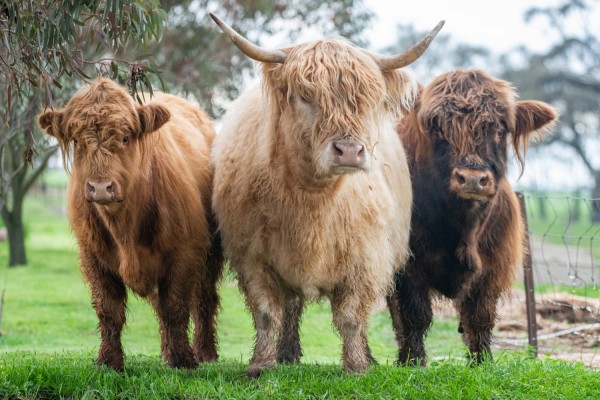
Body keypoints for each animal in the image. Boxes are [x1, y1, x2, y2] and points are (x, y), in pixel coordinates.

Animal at [39, 78, 223, 372]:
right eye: (77, 140)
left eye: (125, 137)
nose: (100, 187)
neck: (125, 228)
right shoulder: (93, 258)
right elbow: (109, 311)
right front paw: (109, 361)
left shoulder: (185, 252)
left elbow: (176, 306)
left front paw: (183, 360)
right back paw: (166, 351)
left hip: (212, 253)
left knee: (204, 300)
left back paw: (205, 352)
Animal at [390, 69, 556, 366]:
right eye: (437, 127)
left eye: (500, 129)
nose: (471, 179)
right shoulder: (408, 264)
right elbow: (414, 315)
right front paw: (412, 361)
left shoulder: (494, 264)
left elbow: (480, 316)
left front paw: (482, 362)